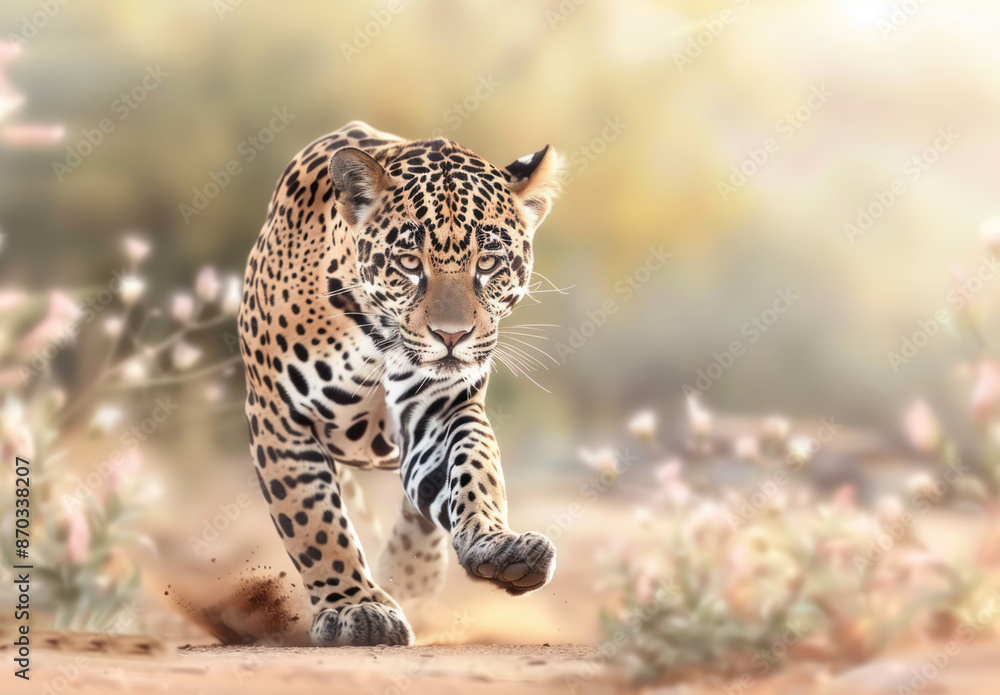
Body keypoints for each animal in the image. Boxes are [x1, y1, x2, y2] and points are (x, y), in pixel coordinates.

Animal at [237, 120, 561, 646]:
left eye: (488, 263)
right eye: (409, 263)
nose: (451, 336)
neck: (373, 335)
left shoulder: (439, 409)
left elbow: (474, 470)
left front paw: (497, 545)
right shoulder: (279, 415)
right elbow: (314, 520)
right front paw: (353, 606)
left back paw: (412, 571)